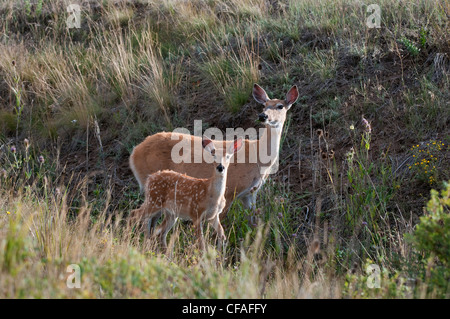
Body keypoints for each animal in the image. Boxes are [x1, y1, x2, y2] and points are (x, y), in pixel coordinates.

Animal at [130, 84, 298, 220]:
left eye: (280, 106)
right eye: (264, 105)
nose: (263, 116)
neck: (258, 158)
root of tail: (133, 153)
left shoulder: (250, 194)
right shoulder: (229, 190)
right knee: (137, 214)